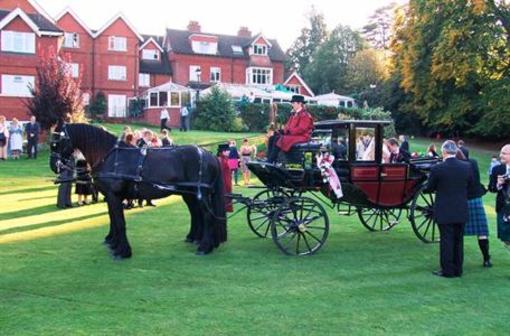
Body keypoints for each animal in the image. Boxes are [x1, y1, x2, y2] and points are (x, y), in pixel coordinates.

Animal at [49, 123, 225, 258]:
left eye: (56, 143)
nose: (54, 165)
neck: (112, 158)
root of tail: (208, 154)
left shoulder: (114, 196)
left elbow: (119, 222)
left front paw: (123, 251)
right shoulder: (111, 197)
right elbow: (113, 220)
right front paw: (113, 243)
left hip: (200, 194)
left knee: (207, 216)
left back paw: (205, 246)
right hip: (190, 194)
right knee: (196, 214)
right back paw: (198, 239)